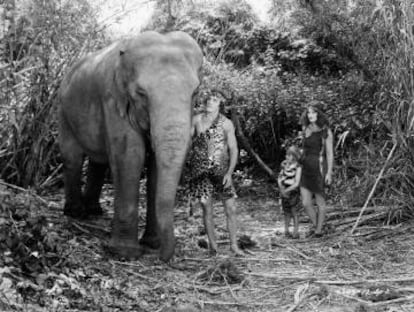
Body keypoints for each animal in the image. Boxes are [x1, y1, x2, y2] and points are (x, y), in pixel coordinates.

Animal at [58, 31, 204, 260]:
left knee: (98, 160)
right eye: (141, 93)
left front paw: (152, 243)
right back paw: (75, 213)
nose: (163, 257)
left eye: (195, 93)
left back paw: (94, 211)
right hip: (64, 111)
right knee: (72, 156)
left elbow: (155, 165)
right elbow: (130, 156)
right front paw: (125, 252)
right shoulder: (111, 98)